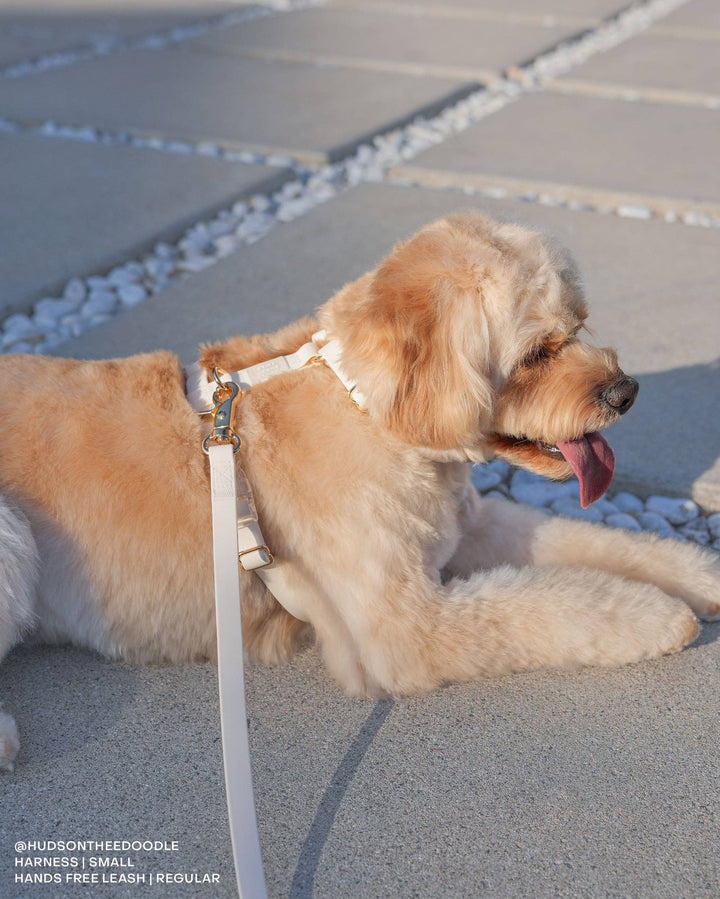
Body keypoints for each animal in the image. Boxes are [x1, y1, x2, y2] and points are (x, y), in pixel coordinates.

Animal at [1, 209, 720, 768]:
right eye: (537, 353)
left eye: (579, 324)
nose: (626, 391)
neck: (370, 412)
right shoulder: (401, 628)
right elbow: (546, 606)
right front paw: (653, 614)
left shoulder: (469, 525)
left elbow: (597, 546)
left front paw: (695, 575)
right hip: (12, 531)